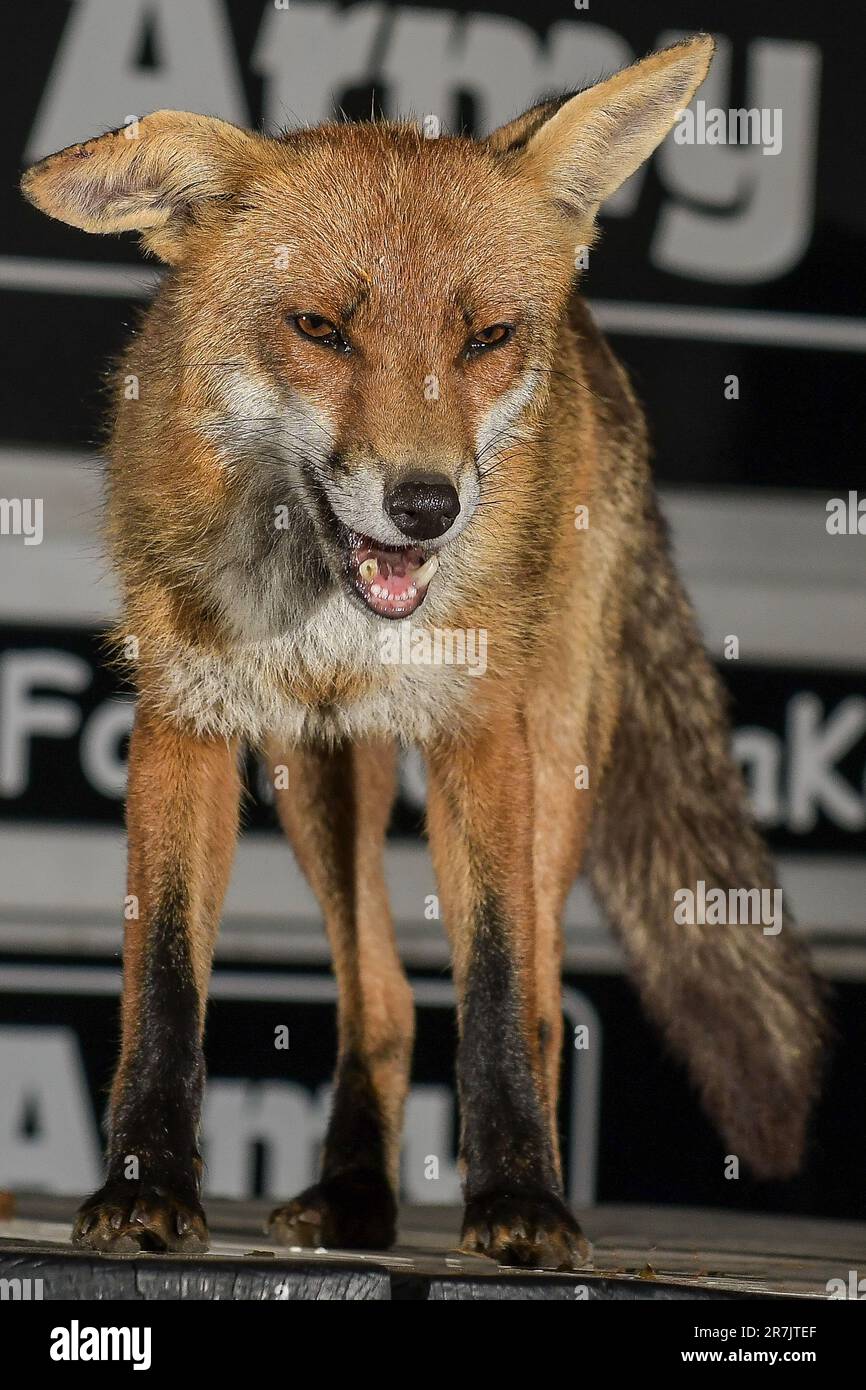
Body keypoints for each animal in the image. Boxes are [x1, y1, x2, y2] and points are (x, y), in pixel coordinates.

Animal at [20, 34, 826, 1271]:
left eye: (484, 336)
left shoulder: (480, 731)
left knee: (535, 989)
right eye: (318, 328)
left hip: (554, 750)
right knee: (384, 997)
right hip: (314, 772)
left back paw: (511, 1182)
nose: (425, 505)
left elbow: (495, 982)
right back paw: (355, 1193)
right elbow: (161, 979)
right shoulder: (183, 717)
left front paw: (520, 1199)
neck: (333, 607)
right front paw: (144, 1184)